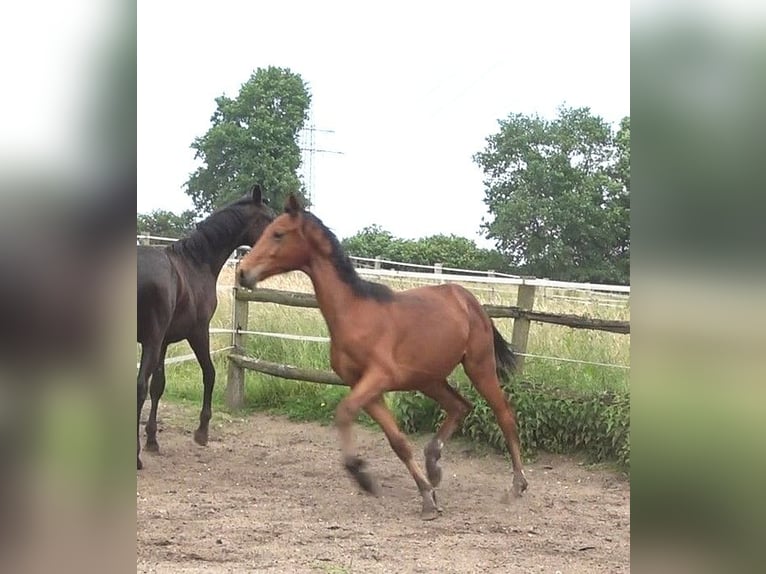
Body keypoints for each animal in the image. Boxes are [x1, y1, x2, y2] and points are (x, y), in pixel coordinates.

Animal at [138, 187, 276, 470]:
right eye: (269, 218)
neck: (195, 263)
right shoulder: (198, 332)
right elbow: (210, 374)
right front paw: (202, 432)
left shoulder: (163, 342)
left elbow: (158, 385)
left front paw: (152, 440)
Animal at [238, 196, 528, 520]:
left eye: (278, 234)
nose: (242, 273)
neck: (354, 313)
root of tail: (468, 299)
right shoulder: (365, 387)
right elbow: (397, 441)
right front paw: (427, 496)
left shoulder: (378, 378)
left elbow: (344, 412)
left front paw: (363, 476)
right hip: (429, 379)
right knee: (460, 406)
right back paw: (433, 466)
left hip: (479, 367)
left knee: (504, 415)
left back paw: (517, 485)